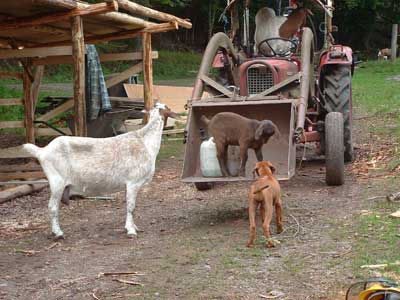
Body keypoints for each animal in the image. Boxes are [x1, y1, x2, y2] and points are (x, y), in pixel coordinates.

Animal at [23, 103, 167, 239]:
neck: (145, 142)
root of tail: (42, 151)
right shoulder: (133, 182)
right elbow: (131, 207)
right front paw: (131, 231)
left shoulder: (129, 185)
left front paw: (133, 226)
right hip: (57, 181)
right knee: (52, 207)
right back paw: (58, 233)